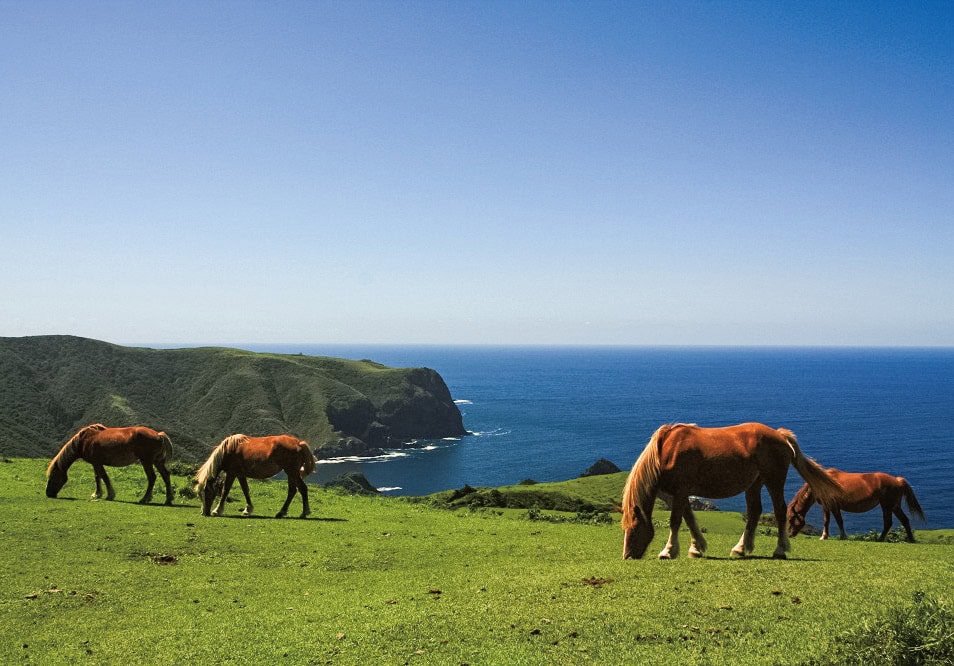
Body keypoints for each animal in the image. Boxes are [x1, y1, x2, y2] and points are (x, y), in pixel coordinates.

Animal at [46, 420, 175, 504]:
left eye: (53, 477)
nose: (48, 494)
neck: (84, 440)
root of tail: (158, 434)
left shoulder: (97, 463)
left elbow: (103, 477)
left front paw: (108, 495)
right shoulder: (96, 463)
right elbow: (98, 477)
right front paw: (98, 494)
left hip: (147, 461)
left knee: (152, 477)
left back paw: (144, 499)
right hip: (157, 461)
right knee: (166, 475)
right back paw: (168, 499)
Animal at [620, 422, 844, 556]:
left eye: (634, 527)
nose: (628, 556)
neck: (666, 450)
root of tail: (780, 435)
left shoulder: (681, 490)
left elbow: (676, 521)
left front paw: (668, 551)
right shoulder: (680, 493)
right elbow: (689, 519)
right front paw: (697, 548)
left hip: (774, 480)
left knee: (780, 511)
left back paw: (780, 550)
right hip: (755, 483)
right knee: (754, 512)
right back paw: (741, 548)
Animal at [784, 466, 924, 540]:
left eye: (791, 519)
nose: (790, 534)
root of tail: (897, 480)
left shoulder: (833, 505)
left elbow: (838, 521)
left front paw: (842, 536)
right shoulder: (827, 506)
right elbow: (826, 521)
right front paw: (824, 536)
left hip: (887, 505)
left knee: (888, 522)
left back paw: (880, 539)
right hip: (895, 506)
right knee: (904, 520)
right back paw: (911, 540)